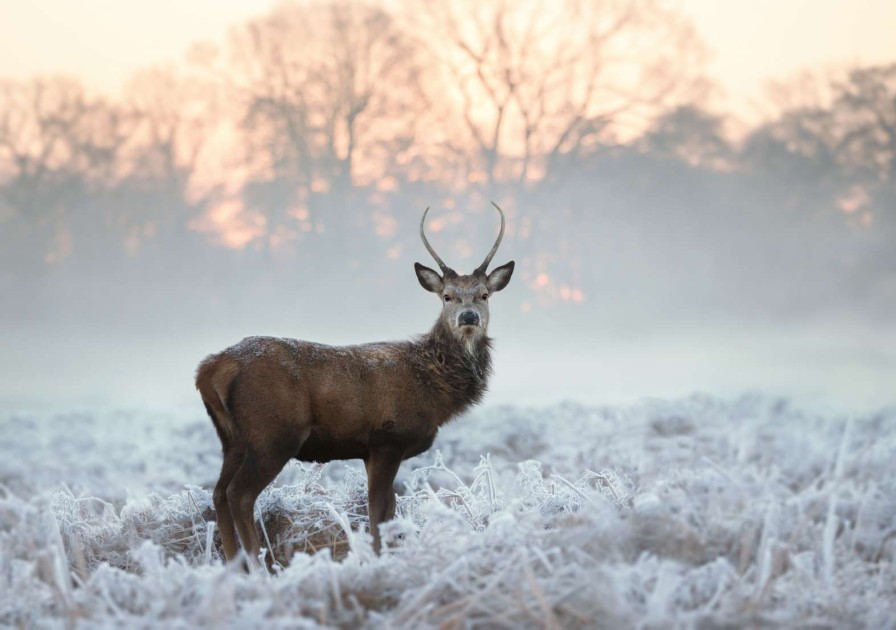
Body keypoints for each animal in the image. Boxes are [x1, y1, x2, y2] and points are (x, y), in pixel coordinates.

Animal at [199, 205, 516, 572]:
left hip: (233, 438)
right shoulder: (387, 440)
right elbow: (377, 512)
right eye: (447, 296)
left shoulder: (376, 450)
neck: (435, 390)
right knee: (239, 494)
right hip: (273, 433)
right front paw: (378, 563)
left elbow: (388, 510)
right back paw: (259, 568)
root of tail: (209, 369)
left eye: (484, 295)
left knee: (218, 493)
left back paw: (235, 569)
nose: (468, 317)